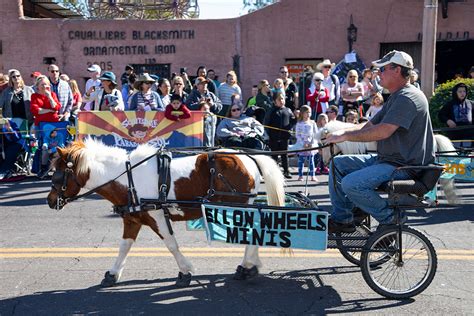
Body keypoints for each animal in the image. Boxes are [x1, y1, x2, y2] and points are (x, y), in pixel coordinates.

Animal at [47, 139, 286, 288]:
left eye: (58, 174)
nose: (50, 201)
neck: (127, 177)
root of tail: (248, 157)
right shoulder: (133, 219)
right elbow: (124, 247)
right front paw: (112, 275)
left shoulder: (157, 217)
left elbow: (171, 244)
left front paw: (185, 272)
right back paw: (250, 265)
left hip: (238, 207)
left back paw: (247, 266)